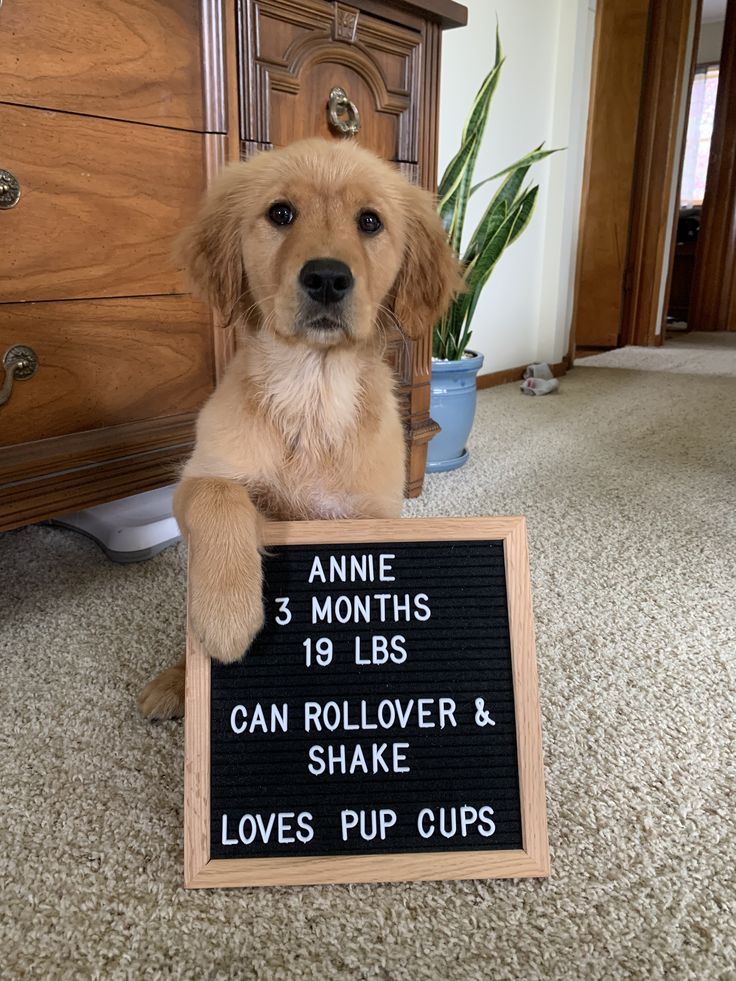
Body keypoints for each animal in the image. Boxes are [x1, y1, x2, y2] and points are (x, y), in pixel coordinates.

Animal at [138, 138, 460, 716]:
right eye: (281, 214)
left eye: (370, 221)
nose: (327, 278)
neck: (312, 394)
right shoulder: (199, 476)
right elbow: (219, 497)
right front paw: (227, 616)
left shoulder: (369, 516)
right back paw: (177, 681)